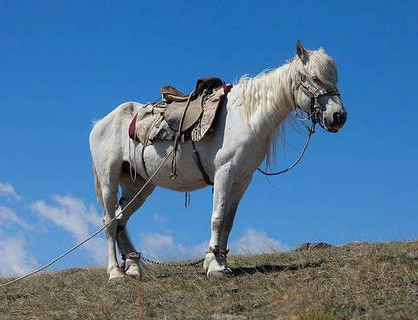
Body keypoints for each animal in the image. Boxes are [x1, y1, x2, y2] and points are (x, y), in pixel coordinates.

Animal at [88, 41, 346, 282]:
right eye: (315, 77)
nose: (339, 117)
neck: (245, 117)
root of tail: (100, 123)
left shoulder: (242, 180)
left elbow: (228, 222)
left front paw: (220, 262)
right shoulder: (225, 172)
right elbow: (217, 218)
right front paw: (214, 267)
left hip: (139, 185)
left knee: (121, 219)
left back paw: (133, 266)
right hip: (109, 180)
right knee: (109, 222)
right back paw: (115, 273)